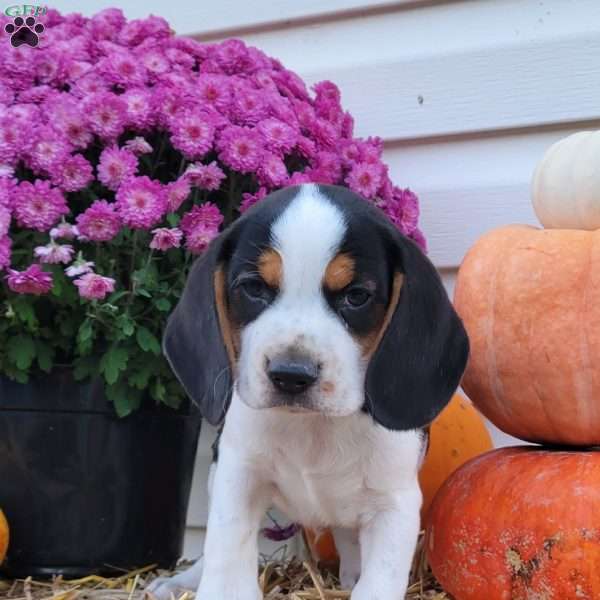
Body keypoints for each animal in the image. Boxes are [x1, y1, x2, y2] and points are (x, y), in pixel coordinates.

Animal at [146, 183, 468, 600]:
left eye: (356, 296)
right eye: (253, 288)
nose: (290, 375)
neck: (315, 428)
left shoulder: (393, 505)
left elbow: (377, 583)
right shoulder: (238, 477)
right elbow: (225, 560)